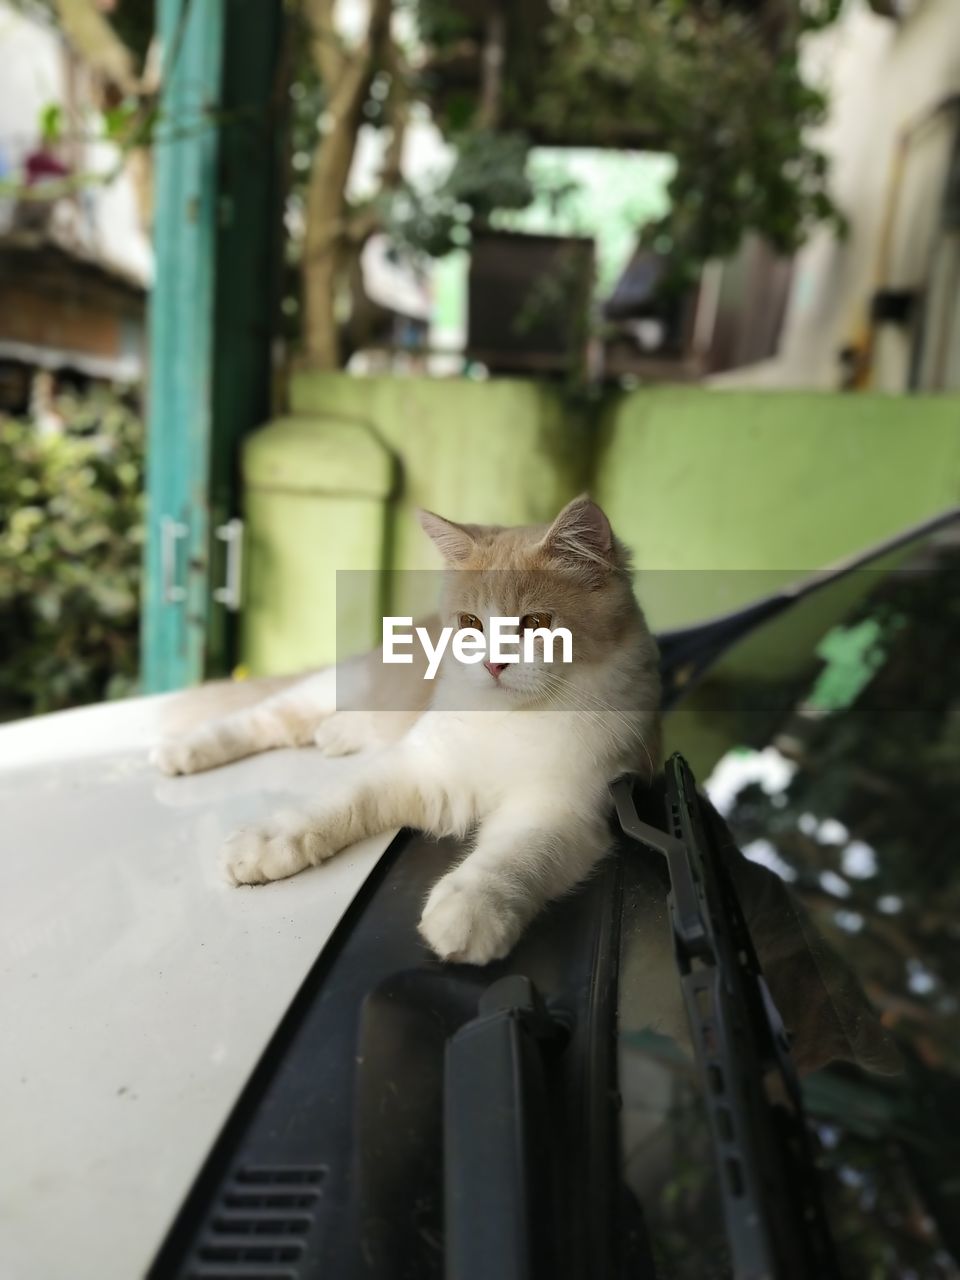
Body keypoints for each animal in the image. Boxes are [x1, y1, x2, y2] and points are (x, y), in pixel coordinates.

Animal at [152, 494, 660, 962]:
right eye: (471, 623)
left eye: (536, 622)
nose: (493, 665)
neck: (510, 720)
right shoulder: (417, 765)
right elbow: (333, 805)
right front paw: (265, 843)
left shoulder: (563, 809)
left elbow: (513, 858)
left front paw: (471, 910)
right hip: (332, 689)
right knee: (258, 720)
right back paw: (180, 752)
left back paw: (334, 736)